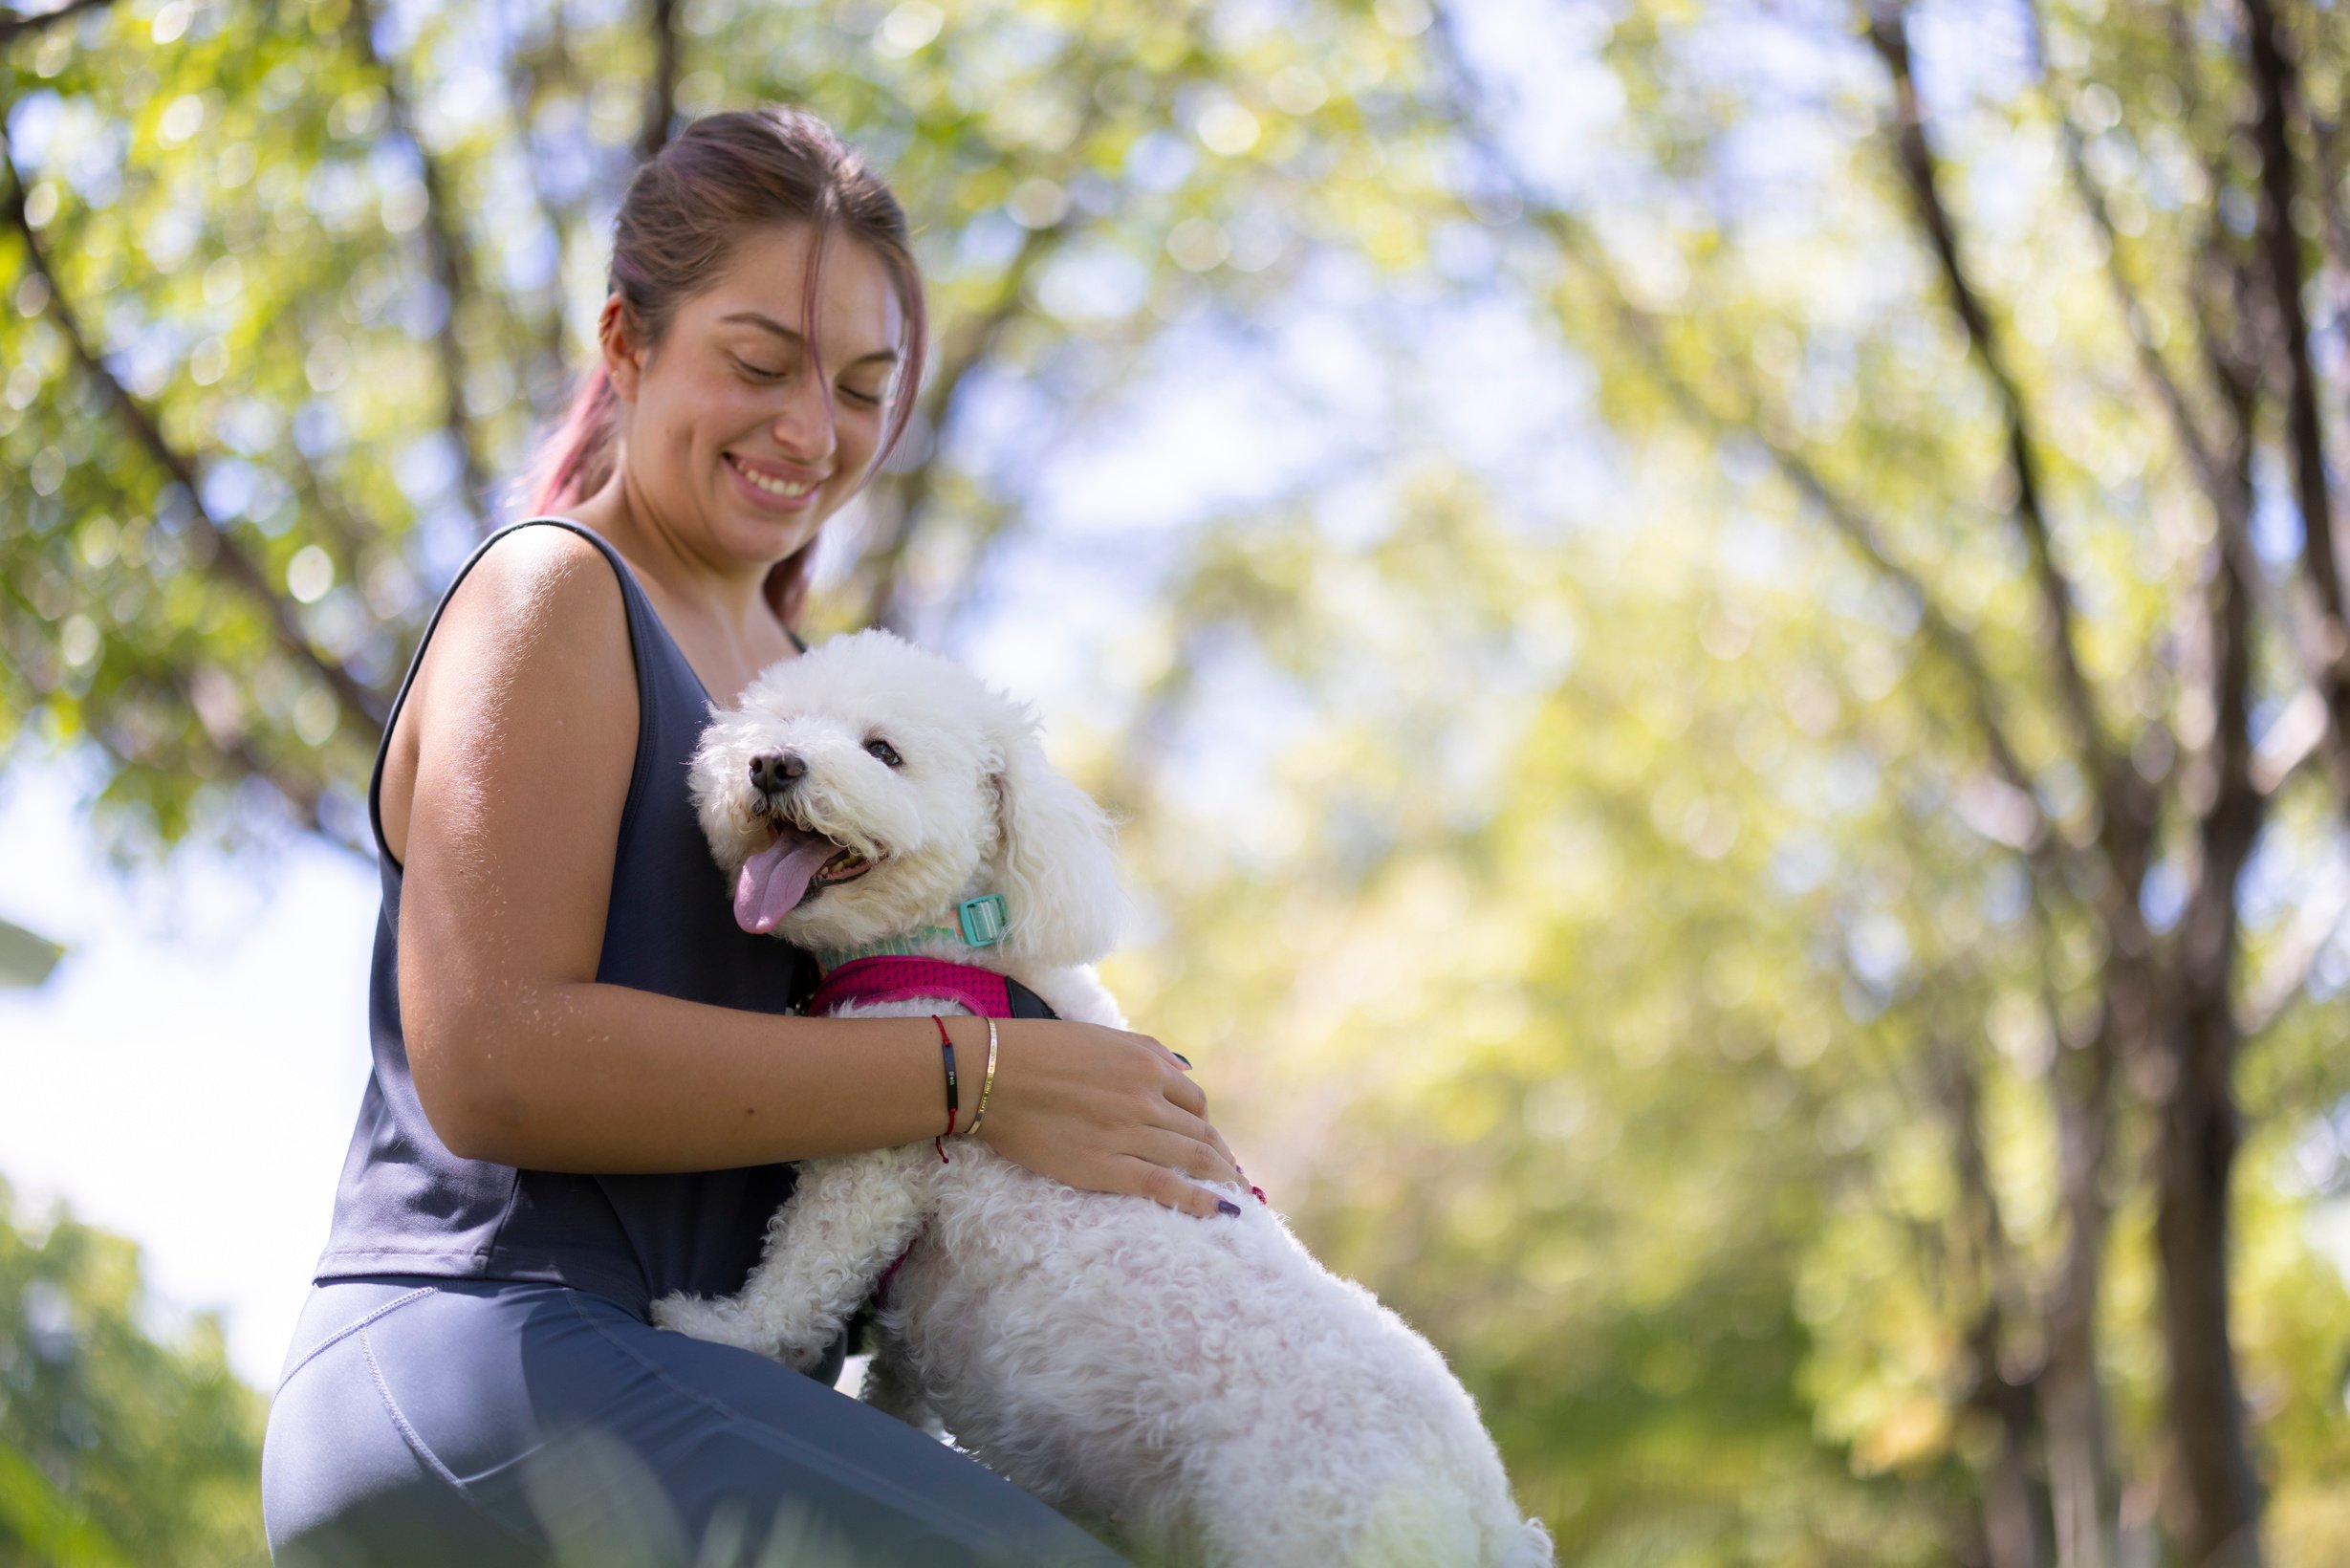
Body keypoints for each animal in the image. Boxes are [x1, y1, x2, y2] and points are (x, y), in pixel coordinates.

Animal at [653, 629, 1551, 1568]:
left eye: (884, 751)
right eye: (784, 719)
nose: (772, 764)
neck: (961, 952)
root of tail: (1485, 1522)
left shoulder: (874, 1168)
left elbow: (802, 1276)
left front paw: (718, 1331)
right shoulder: (915, 1322)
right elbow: (898, 1381)